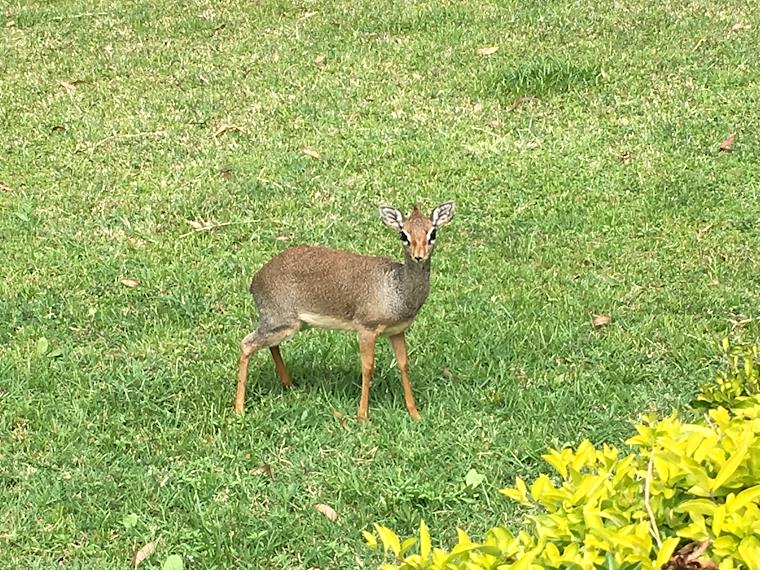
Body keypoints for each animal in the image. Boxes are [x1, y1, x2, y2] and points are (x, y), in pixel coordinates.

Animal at [235, 201, 455, 422]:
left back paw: (290, 386)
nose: (419, 256)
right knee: (246, 344)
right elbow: (367, 367)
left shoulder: (397, 331)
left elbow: (403, 364)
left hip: (288, 324)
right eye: (403, 234)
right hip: (280, 322)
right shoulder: (366, 329)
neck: (395, 289)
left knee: (270, 346)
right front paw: (362, 417)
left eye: (432, 232)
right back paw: (239, 409)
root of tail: (254, 281)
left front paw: (415, 413)